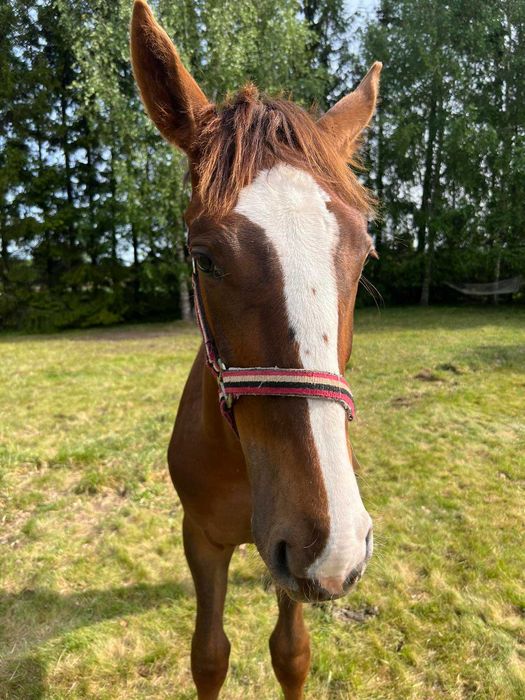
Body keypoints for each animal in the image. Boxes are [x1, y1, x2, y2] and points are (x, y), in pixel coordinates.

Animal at [129, 2, 378, 696]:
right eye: (204, 258)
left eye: (364, 253)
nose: (335, 542)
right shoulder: (204, 540)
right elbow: (209, 656)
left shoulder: (298, 562)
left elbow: (290, 653)